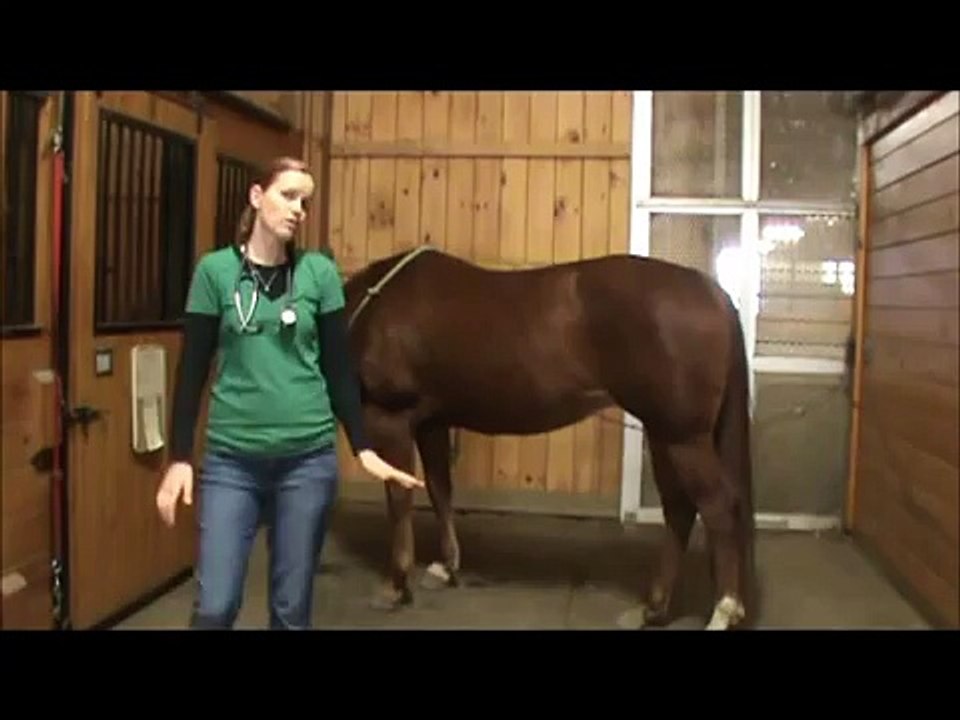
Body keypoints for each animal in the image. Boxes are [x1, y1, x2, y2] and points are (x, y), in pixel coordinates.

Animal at [338, 244, 757, 630]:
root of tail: (712, 293)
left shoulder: (389, 418)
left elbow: (399, 498)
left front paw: (395, 586)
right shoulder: (432, 423)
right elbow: (441, 489)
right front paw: (445, 567)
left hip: (684, 438)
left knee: (716, 507)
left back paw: (722, 611)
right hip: (663, 434)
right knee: (679, 509)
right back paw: (653, 609)